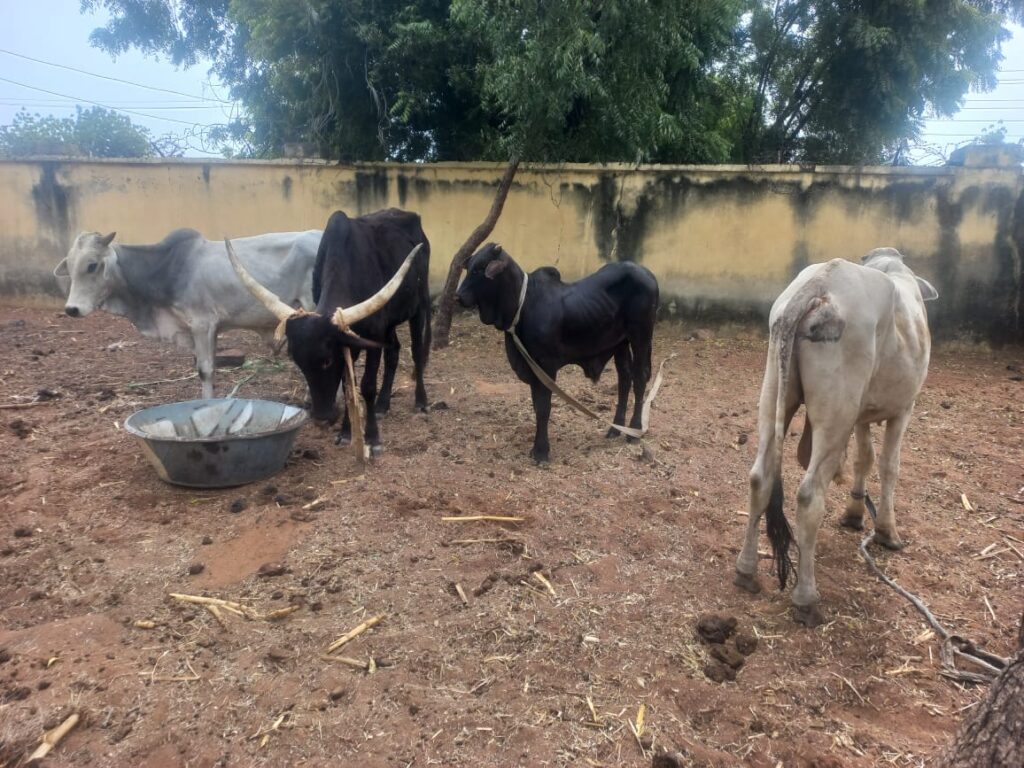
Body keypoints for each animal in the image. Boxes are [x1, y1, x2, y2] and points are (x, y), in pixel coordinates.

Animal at [55, 229, 321, 399]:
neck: (166, 269)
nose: (71, 309)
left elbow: (205, 370)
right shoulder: (211, 329)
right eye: (69, 266)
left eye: (92, 265)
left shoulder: (202, 324)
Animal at [227, 209, 431, 455]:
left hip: (418, 307)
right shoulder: (349, 342)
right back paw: (383, 404)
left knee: (417, 351)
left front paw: (372, 438)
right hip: (390, 321)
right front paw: (346, 433)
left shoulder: (372, 335)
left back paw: (421, 402)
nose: (322, 419)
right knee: (394, 352)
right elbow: (348, 385)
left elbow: (366, 386)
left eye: (326, 361)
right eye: (297, 362)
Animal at [456, 243, 659, 464]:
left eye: (479, 270)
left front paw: (541, 451)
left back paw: (634, 431)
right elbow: (537, 406)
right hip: (620, 343)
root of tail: (647, 273)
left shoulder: (546, 364)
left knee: (639, 378)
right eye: (469, 267)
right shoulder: (532, 368)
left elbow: (544, 407)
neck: (522, 305)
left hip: (641, 336)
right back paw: (615, 429)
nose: (458, 297)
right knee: (624, 379)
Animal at [734, 247, 938, 627]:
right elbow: (889, 466)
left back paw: (746, 570)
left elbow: (863, 458)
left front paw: (855, 513)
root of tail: (819, 284)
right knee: (809, 495)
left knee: (760, 478)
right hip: (835, 415)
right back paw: (806, 599)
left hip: (775, 397)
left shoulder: (861, 417)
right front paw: (887, 531)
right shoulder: (904, 408)